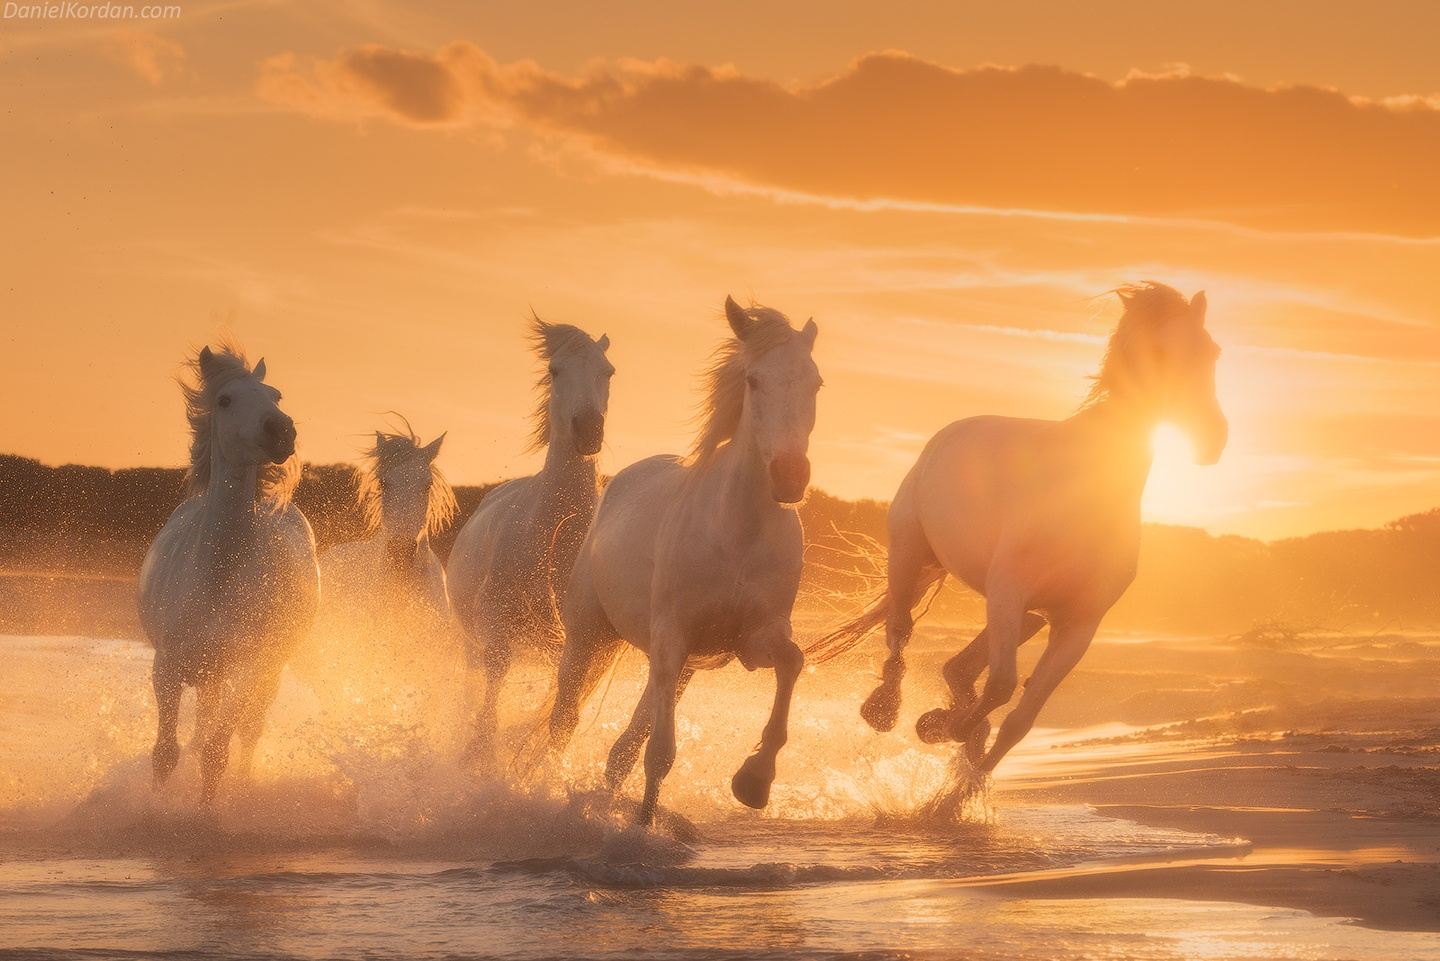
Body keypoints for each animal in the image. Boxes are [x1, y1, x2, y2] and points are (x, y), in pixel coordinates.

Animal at [138, 345, 321, 806]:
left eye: (275, 395)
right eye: (224, 399)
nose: (282, 431)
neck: (218, 577)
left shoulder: (250, 671)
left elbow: (217, 752)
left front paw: (205, 814)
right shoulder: (167, 668)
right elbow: (165, 753)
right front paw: (153, 808)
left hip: (263, 674)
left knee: (247, 732)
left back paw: (244, 784)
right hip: (209, 675)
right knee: (204, 722)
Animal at [446, 319, 610, 772]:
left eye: (608, 371)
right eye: (554, 370)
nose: (589, 431)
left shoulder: (585, 646)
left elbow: (566, 712)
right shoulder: (495, 626)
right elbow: (493, 686)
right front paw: (477, 755)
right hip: (469, 638)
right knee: (471, 685)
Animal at [547, 298, 823, 829]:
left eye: (816, 382)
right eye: (754, 380)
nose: (790, 477)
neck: (736, 530)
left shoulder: (752, 639)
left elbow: (793, 661)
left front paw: (754, 780)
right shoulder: (672, 637)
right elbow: (660, 753)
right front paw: (642, 829)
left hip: (678, 665)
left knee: (622, 749)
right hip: (590, 637)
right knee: (563, 722)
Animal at [817, 282, 1232, 778]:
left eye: (1211, 351)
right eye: (1157, 352)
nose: (1213, 439)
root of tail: (948, 434)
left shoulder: (1079, 624)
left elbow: (1020, 720)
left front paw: (958, 776)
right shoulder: (1008, 592)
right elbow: (1000, 686)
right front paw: (942, 729)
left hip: (1028, 612)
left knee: (958, 666)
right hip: (911, 555)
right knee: (900, 630)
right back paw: (884, 710)